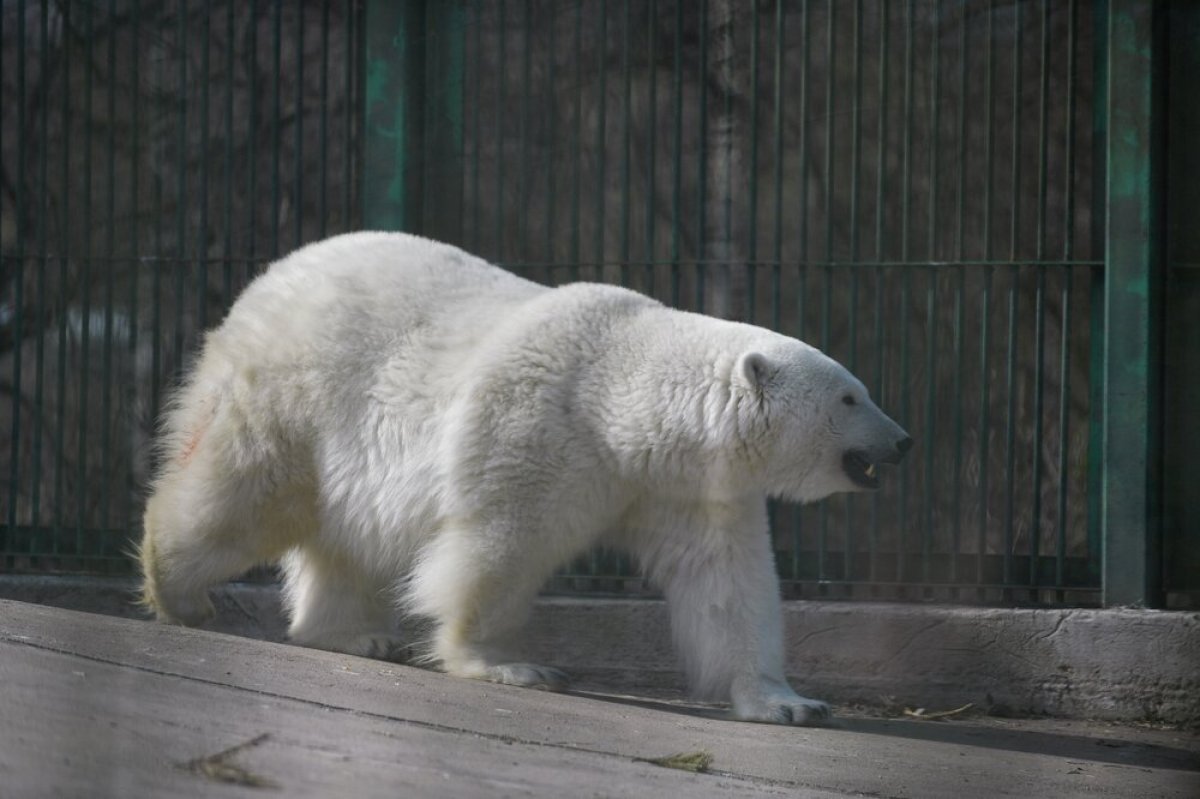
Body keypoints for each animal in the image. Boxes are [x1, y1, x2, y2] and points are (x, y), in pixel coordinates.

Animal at [138, 230, 907, 719]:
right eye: (851, 397)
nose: (902, 441)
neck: (623, 405)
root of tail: (266, 279)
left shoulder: (689, 488)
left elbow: (729, 587)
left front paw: (790, 702)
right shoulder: (536, 426)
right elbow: (498, 546)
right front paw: (507, 664)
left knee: (347, 540)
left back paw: (356, 635)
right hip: (295, 390)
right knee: (245, 490)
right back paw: (179, 590)